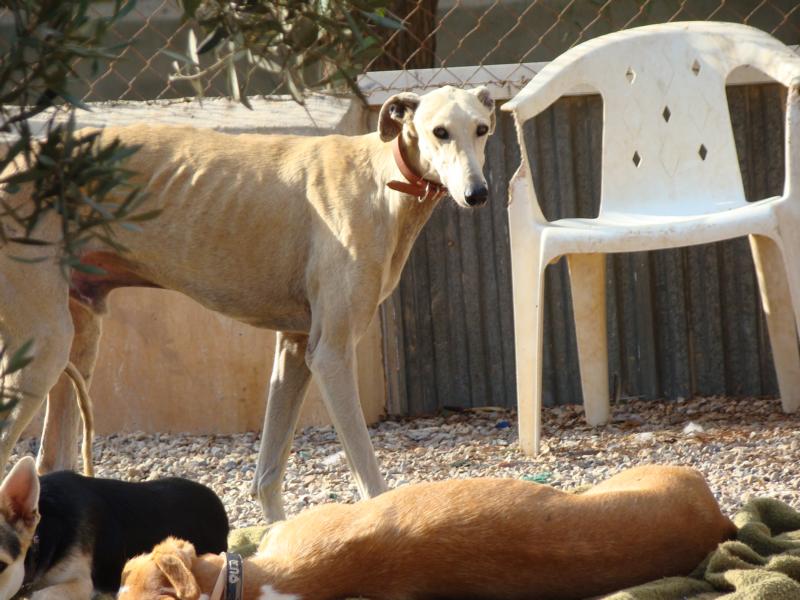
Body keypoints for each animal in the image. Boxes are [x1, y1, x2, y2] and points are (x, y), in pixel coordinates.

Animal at [0, 85, 496, 522]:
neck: (378, 177)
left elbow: (267, 474)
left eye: (482, 128)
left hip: (78, 340)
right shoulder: (331, 354)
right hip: (42, 351)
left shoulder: (295, 345)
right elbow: (371, 480)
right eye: (439, 131)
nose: (478, 194)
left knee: (48, 461)